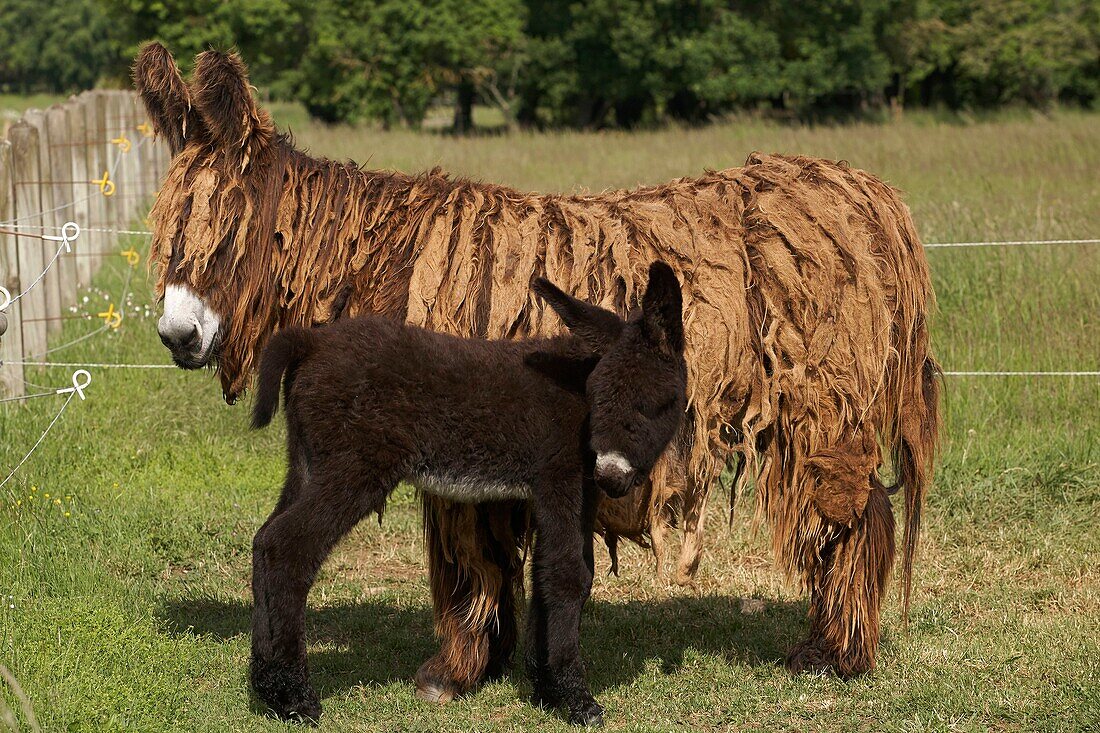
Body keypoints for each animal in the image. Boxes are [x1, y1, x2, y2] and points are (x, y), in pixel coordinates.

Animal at [249, 260, 682, 717]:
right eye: (598, 398)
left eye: (657, 403)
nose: (611, 476)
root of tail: (312, 340)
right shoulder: (559, 480)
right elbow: (568, 576)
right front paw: (575, 699)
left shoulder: (570, 492)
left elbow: (549, 574)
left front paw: (546, 689)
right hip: (354, 469)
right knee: (286, 547)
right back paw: (295, 697)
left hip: (307, 463)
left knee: (263, 541)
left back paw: (266, 686)